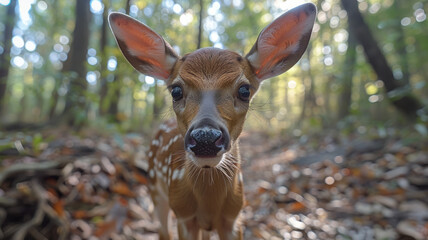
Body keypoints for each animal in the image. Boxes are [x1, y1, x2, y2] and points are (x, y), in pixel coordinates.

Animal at [109, 2, 318, 239]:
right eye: (176, 90)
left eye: (244, 90)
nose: (205, 138)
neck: (209, 201)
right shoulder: (183, 215)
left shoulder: (233, 217)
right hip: (155, 187)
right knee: (163, 230)